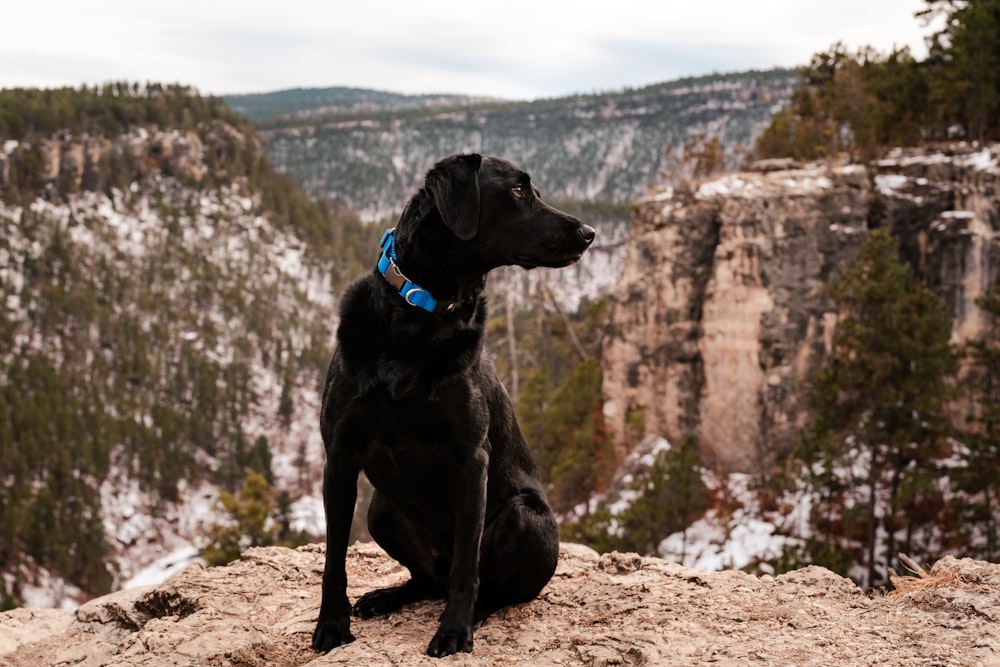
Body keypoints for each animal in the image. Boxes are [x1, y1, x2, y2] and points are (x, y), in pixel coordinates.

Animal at [312, 153, 592, 656]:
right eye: (518, 190)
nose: (589, 232)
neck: (418, 316)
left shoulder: (470, 458)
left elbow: (467, 563)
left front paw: (455, 631)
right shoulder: (339, 456)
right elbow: (334, 556)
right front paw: (331, 625)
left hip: (526, 518)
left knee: (491, 587)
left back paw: (473, 614)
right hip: (380, 509)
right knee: (425, 579)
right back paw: (386, 597)